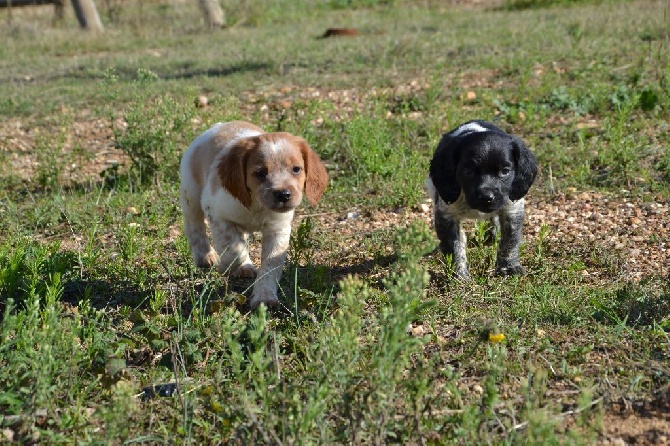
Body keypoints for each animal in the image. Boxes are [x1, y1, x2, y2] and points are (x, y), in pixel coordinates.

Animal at [180, 120, 330, 308]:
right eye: (260, 173)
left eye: (296, 169)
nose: (283, 194)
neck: (257, 206)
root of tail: (219, 125)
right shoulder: (217, 214)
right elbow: (233, 250)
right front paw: (228, 266)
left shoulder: (278, 230)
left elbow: (269, 267)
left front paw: (264, 297)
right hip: (191, 196)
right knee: (195, 227)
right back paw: (206, 257)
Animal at [430, 120, 540, 278]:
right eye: (468, 172)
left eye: (505, 171)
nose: (487, 197)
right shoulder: (446, 215)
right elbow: (454, 246)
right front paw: (459, 274)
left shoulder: (512, 209)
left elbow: (510, 241)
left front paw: (509, 267)